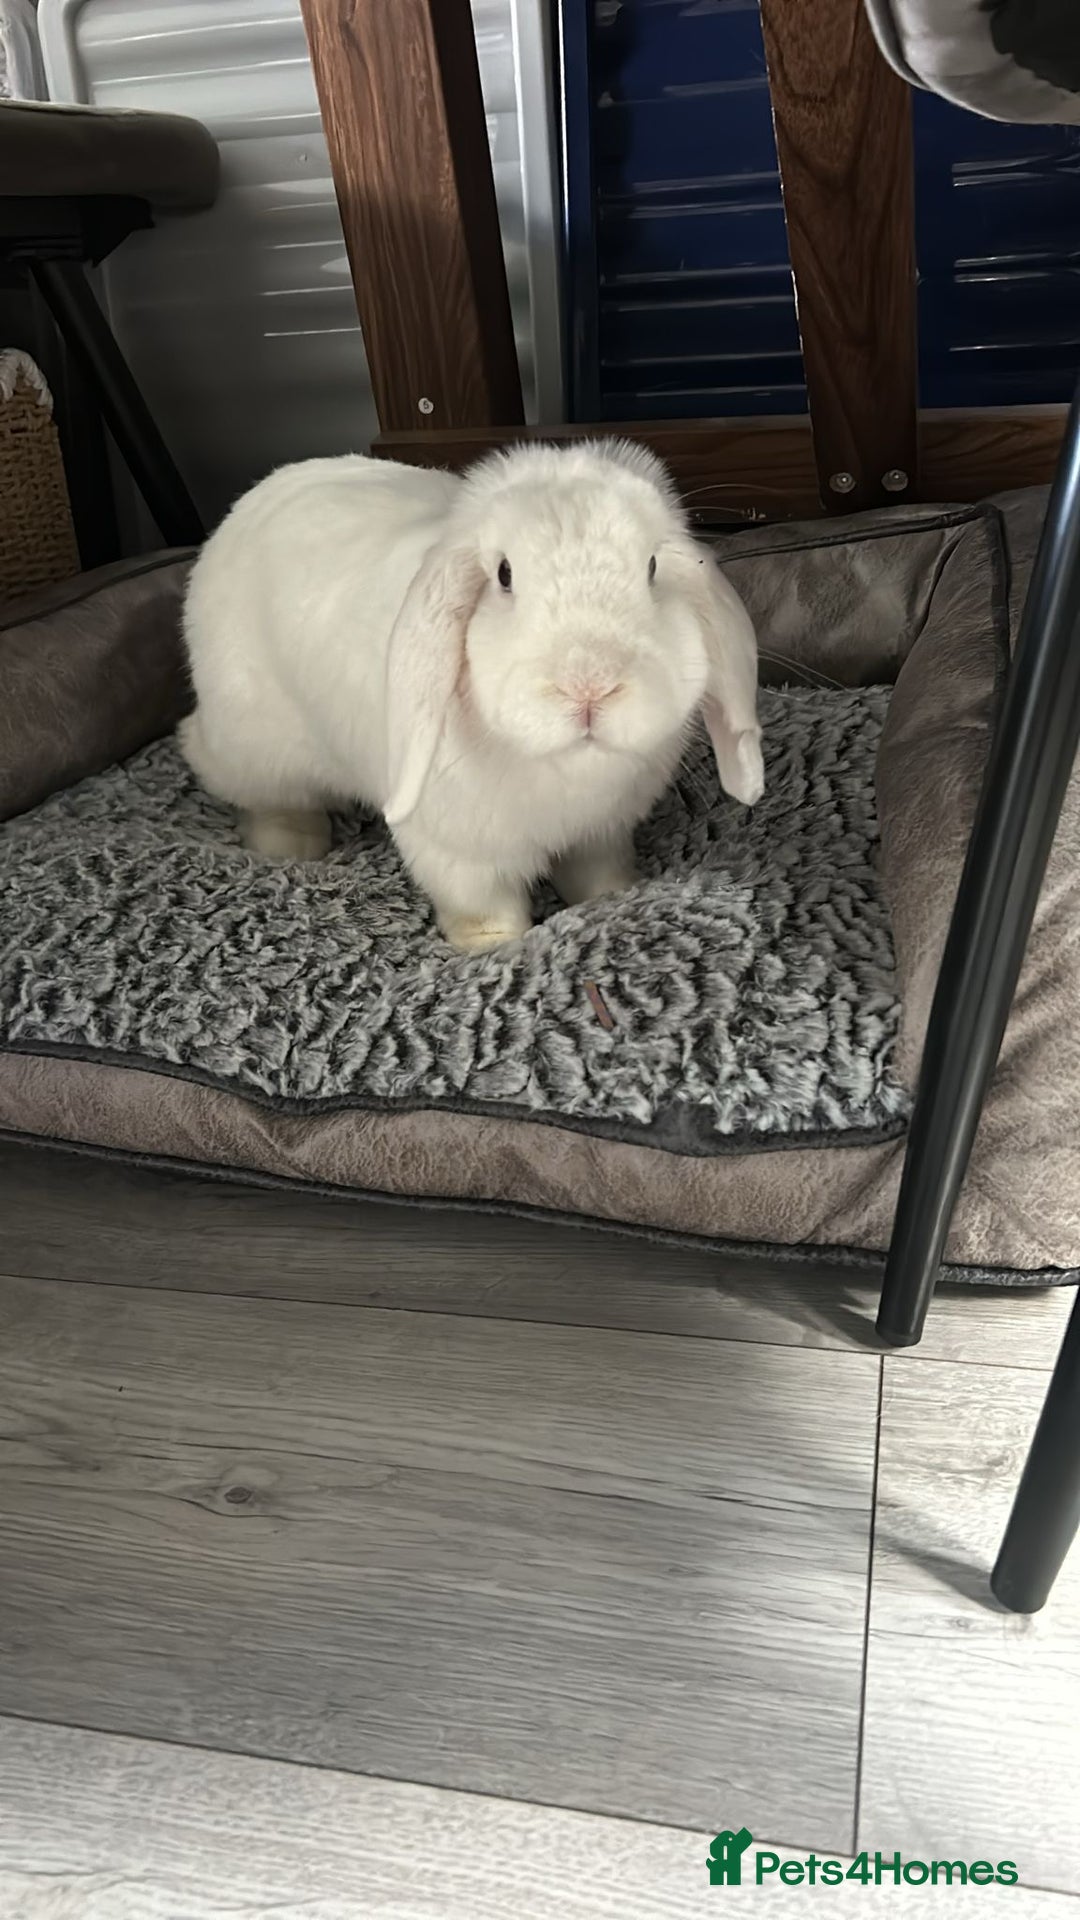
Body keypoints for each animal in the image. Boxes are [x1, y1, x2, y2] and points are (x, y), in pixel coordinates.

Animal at [179, 440, 764, 953]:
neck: (563, 763)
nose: (589, 684)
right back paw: (290, 845)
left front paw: (613, 898)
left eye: (651, 568)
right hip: (258, 748)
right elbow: (482, 906)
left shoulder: (600, 833)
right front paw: (491, 947)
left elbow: (598, 874)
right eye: (504, 575)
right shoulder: (458, 854)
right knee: (259, 793)